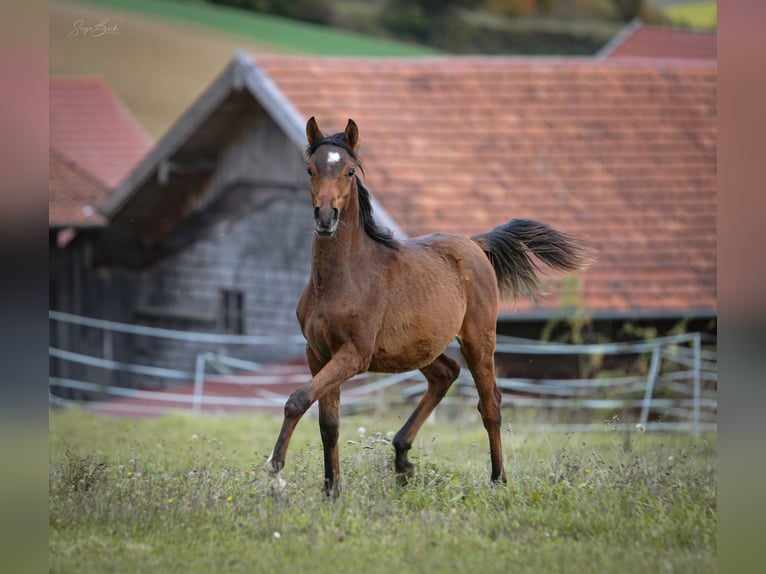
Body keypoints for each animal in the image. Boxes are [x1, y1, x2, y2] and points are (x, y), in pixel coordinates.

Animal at [265, 117, 591, 497]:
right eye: (310, 169)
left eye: (349, 171)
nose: (326, 216)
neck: (341, 278)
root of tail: (475, 244)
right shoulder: (317, 352)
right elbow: (328, 423)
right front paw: (331, 492)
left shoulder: (353, 355)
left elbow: (297, 400)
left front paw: (275, 470)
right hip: (420, 346)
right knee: (446, 374)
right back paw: (402, 458)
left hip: (478, 340)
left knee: (490, 404)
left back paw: (497, 480)